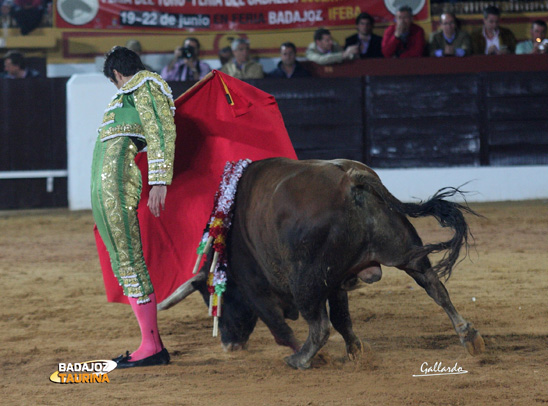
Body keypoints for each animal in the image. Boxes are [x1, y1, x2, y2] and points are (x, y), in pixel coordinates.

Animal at [159, 157, 484, 370]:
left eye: (215, 301)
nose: (230, 346)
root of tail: (352, 179)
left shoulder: (256, 287)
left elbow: (281, 328)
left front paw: (319, 355)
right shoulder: (337, 280)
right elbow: (343, 318)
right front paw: (356, 351)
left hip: (306, 281)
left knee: (319, 326)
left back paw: (301, 359)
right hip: (405, 250)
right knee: (435, 287)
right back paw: (468, 336)